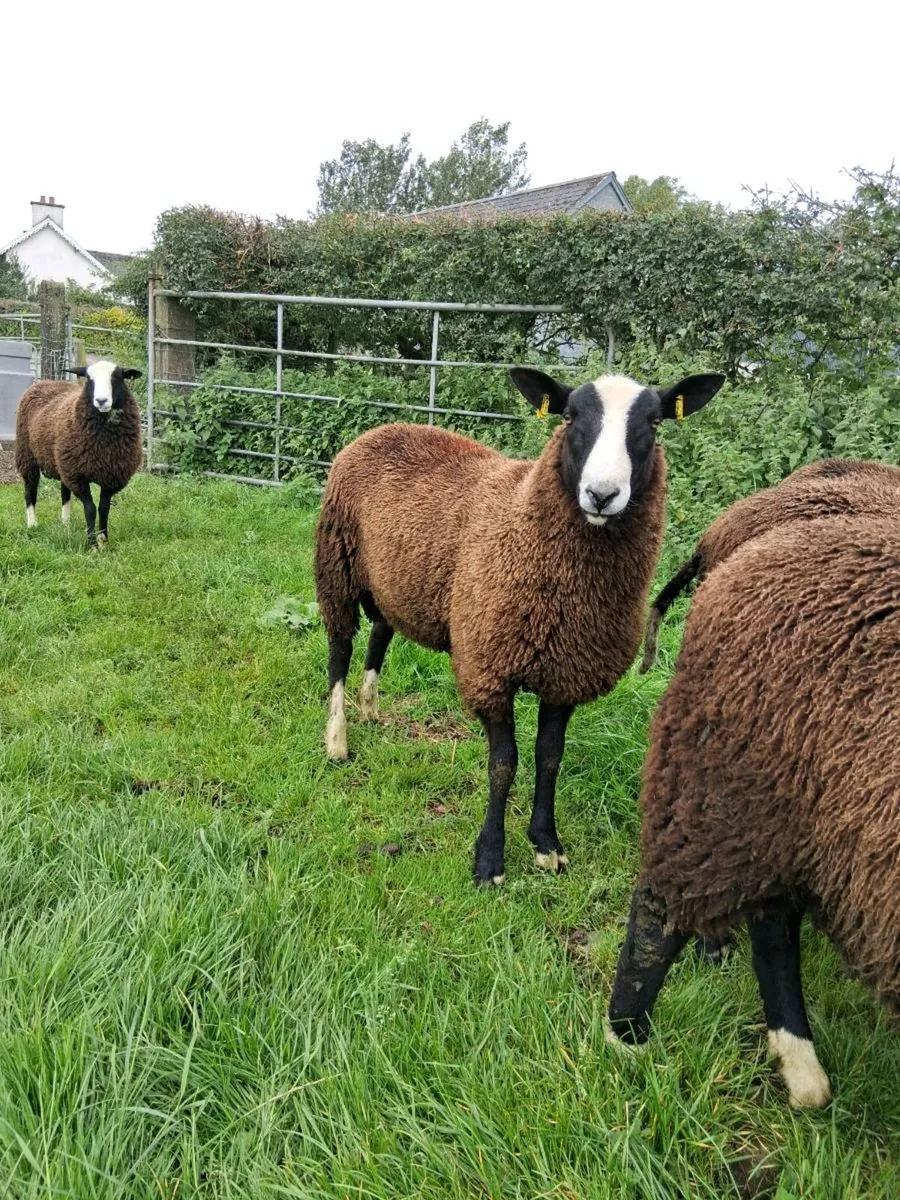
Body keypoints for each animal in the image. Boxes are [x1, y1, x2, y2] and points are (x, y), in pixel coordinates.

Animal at [15, 361, 143, 548]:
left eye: (117, 377)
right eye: (89, 379)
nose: (101, 400)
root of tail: (46, 381)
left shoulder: (111, 476)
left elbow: (104, 509)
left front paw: (103, 540)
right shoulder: (78, 475)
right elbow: (90, 509)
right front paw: (92, 544)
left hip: (63, 462)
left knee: (64, 492)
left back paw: (65, 524)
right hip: (27, 455)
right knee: (30, 490)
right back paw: (32, 524)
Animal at [314, 367, 725, 885]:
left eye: (653, 423)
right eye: (569, 416)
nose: (602, 495)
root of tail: (386, 427)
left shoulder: (567, 673)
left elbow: (549, 758)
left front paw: (547, 844)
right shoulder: (488, 666)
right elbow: (503, 764)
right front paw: (490, 859)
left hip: (391, 579)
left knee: (380, 634)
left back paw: (369, 709)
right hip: (338, 564)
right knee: (339, 649)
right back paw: (337, 739)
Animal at [607, 513, 900, 1107]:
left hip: (783, 819)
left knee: (770, 917)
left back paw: (801, 1068)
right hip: (727, 789)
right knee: (661, 911)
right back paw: (626, 1038)